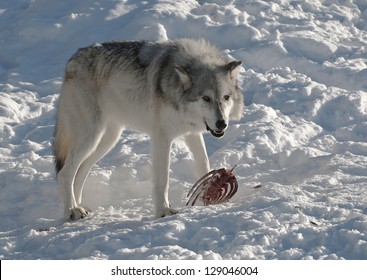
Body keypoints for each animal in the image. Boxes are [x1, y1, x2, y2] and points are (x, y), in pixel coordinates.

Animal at [53, 37, 244, 221]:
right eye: (206, 98)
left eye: (226, 97)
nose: (221, 123)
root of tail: (71, 61)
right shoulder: (162, 138)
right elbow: (163, 180)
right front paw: (163, 211)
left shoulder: (192, 133)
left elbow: (204, 165)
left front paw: (209, 198)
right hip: (91, 136)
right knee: (64, 173)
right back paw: (71, 211)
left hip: (107, 140)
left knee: (79, 172)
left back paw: (78, 207)